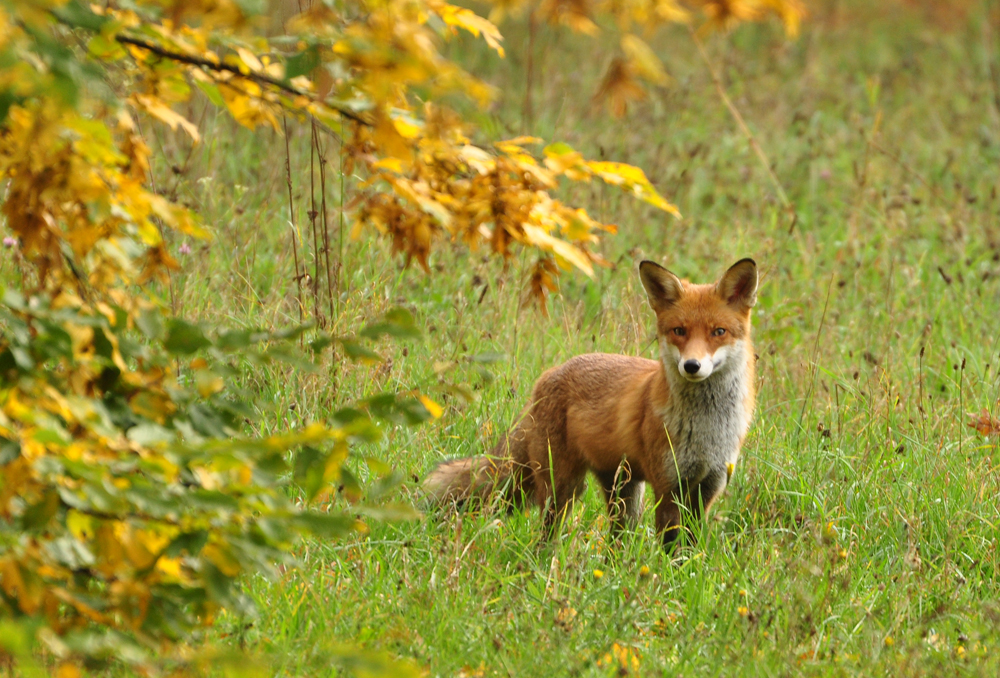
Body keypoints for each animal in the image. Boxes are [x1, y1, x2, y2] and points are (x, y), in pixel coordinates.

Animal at [422, 258, 756, 548]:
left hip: (623, 491)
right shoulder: (668, 486)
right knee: (547, 533)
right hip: (562, 487)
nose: (692, 365)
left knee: (617, 541)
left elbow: (691, 547)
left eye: (718, 332)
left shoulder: (707, 487)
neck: (706, 430)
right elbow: (671, 546)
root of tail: (549, 375)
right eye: (679, 331)